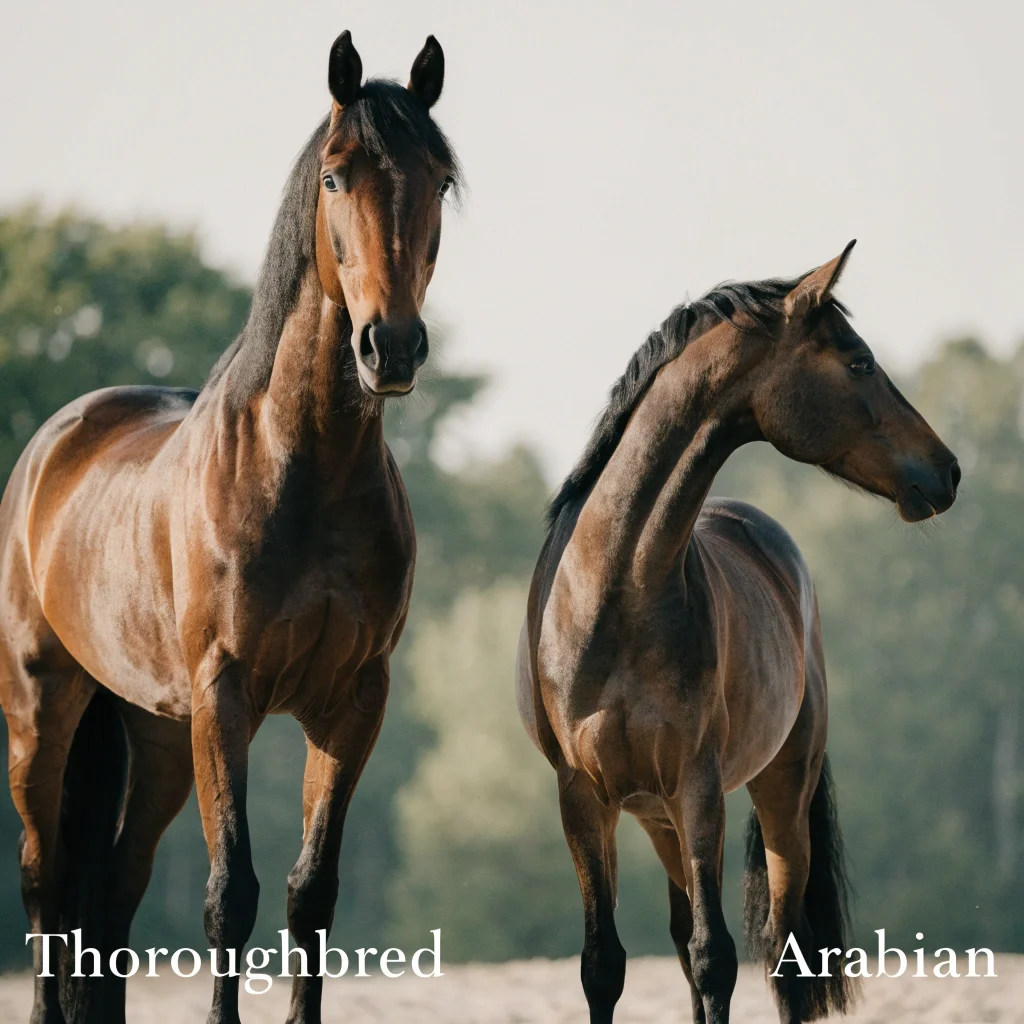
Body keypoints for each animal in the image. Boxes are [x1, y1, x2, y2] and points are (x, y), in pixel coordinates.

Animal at [0, 30, 461, 1024]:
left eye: (440, 180)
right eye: (335, 176)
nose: (391, 346)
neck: (304, 470)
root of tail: (54, 443)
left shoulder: (352, 702)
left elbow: (309, 892)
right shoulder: (228, 695)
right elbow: (229, 893)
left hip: (156, 733)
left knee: (115, 888)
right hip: (41, 706)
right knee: (44, 881)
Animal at [517, 241, 960, 1024]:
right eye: (858, 363)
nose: (948, 471)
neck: (613, 593)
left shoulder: (697, 786)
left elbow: (715, 956)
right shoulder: (583, 798)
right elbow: (605, 964)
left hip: (779, 795)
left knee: (783, 949)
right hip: (656, 815)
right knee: (685, 936)